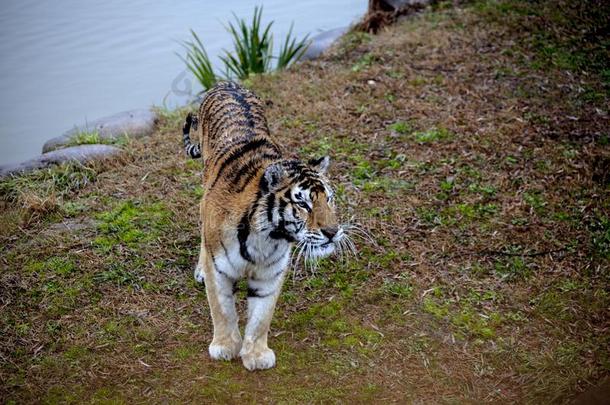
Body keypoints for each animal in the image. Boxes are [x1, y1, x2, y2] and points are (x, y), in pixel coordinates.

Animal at [183, 81, 350, 370]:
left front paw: (257, 355)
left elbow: (261, 316)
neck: (267, 237)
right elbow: (222, 311)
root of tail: (227, 83)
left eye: (328, 199)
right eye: (303, 203)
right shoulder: (219, 271)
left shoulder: (270, 274)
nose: (332, 232)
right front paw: (224, 348)